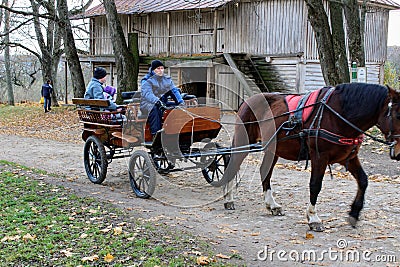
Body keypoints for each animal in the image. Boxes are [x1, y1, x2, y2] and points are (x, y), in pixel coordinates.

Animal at [214, 83, 400, 232]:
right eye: (397, 115)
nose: (398, 152)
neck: (339, 114)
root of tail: (247, 101)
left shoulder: (349, 157)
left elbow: (363, 180)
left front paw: (354, 213)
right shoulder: (319, 157)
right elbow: (315, 185)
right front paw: (313, 218)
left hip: (273, 149)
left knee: (264, 172)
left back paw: (272, 205)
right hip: (244, 143)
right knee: (233, 165)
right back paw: (228, 198)